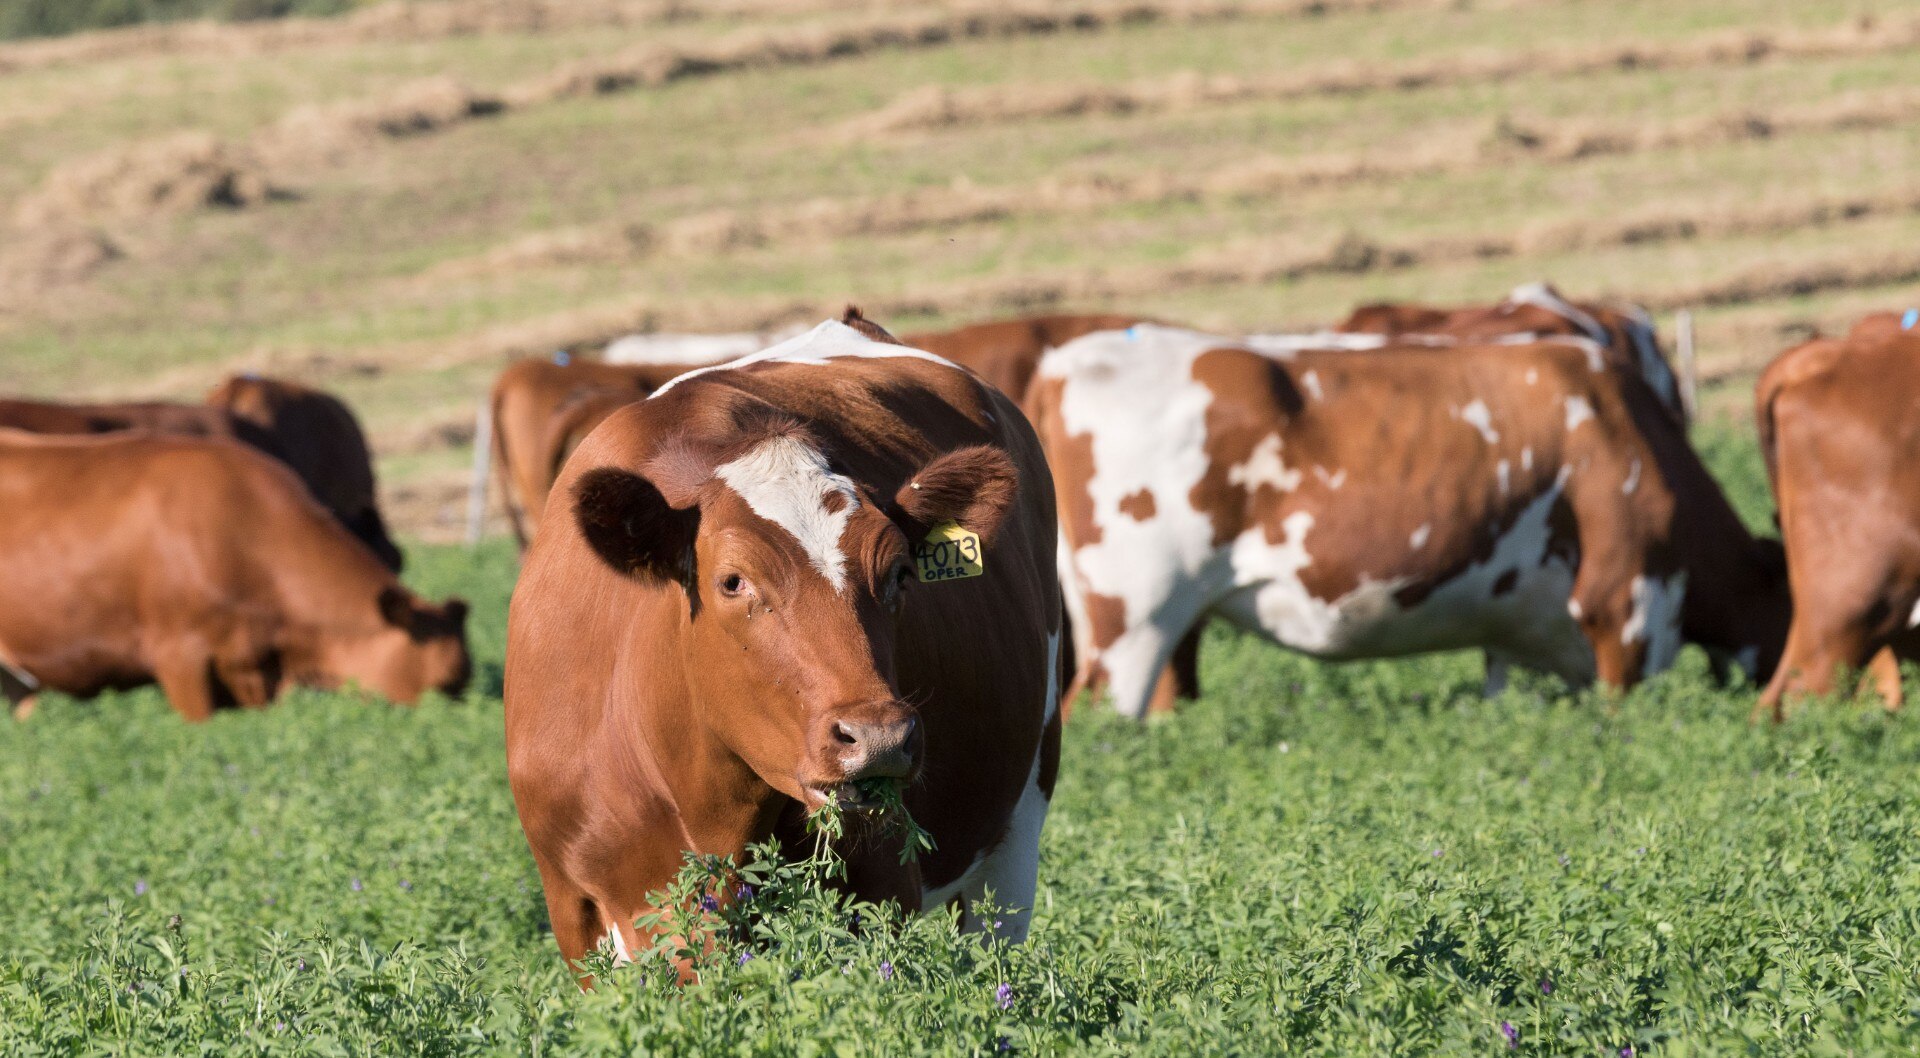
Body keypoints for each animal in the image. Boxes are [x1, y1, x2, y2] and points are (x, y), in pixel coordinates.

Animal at [505, 311, 1061, 976]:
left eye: (900, 572)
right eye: (732, 581)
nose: (878, 737)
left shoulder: (878, 887)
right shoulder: (575, 912)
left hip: (1021, 816)